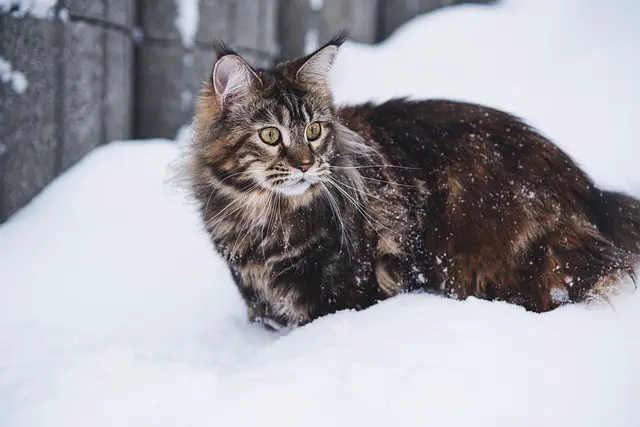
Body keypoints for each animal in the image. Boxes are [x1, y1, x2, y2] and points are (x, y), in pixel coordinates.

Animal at [180, 32, 640, 332]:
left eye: (313, 130)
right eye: (270, 135)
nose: (307, 165)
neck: (264, 222)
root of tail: (592, 194)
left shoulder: (347, 289)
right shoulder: (260, 303)